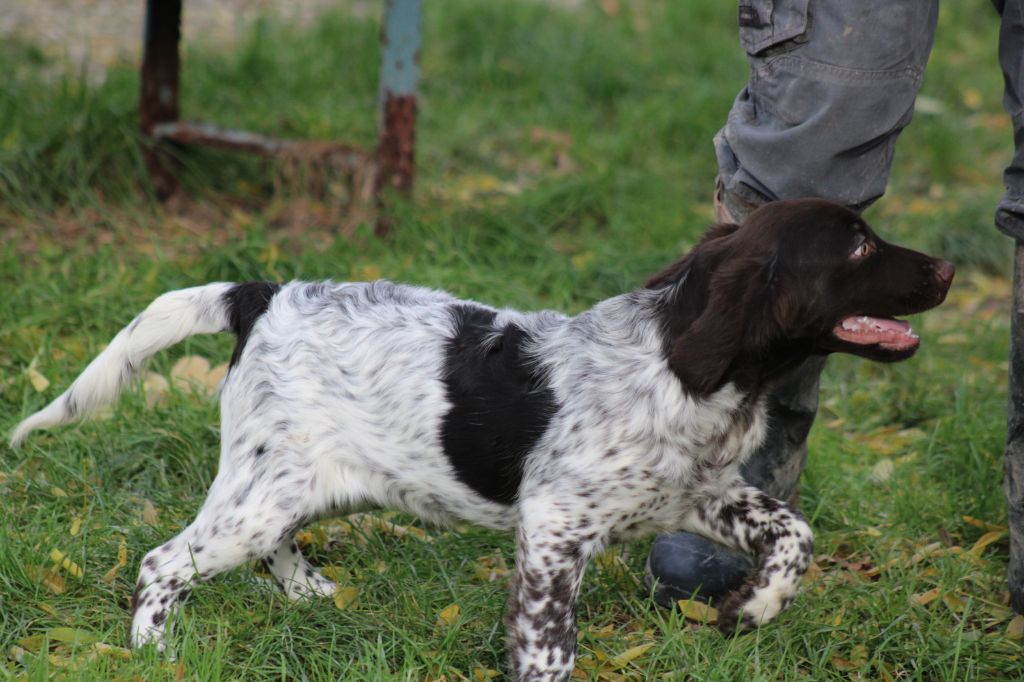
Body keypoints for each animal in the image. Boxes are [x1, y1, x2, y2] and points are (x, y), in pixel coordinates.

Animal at [9, 199, 950, 675]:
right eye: (858, 246)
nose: (946, 268)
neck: (690, 365)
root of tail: (260, 294)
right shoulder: (554, 532)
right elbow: (547, 645)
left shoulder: (700, 494)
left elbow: (795, 533)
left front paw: (752, 606)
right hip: (255, 496)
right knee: (163, 562)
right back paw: (155, 649)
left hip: (293, 483)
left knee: (272, 545)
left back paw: (311, 594)